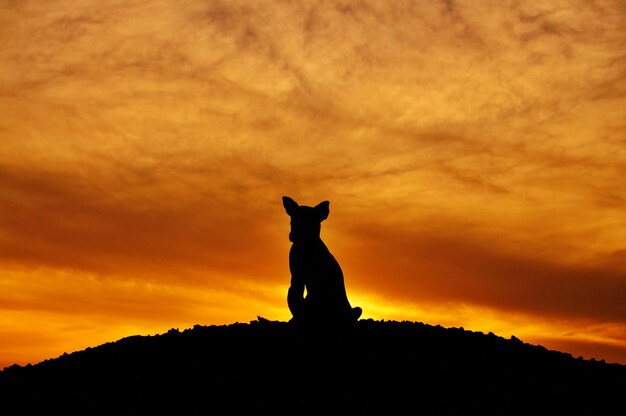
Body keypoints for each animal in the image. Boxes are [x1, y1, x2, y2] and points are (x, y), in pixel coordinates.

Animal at [282, 196, 360, 324]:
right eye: (292, 221)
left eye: (310, 223)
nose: (293, 236)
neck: (305, 245)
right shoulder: (296, 276)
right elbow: (295, 297)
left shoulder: (299, 276)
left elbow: (295, 298)